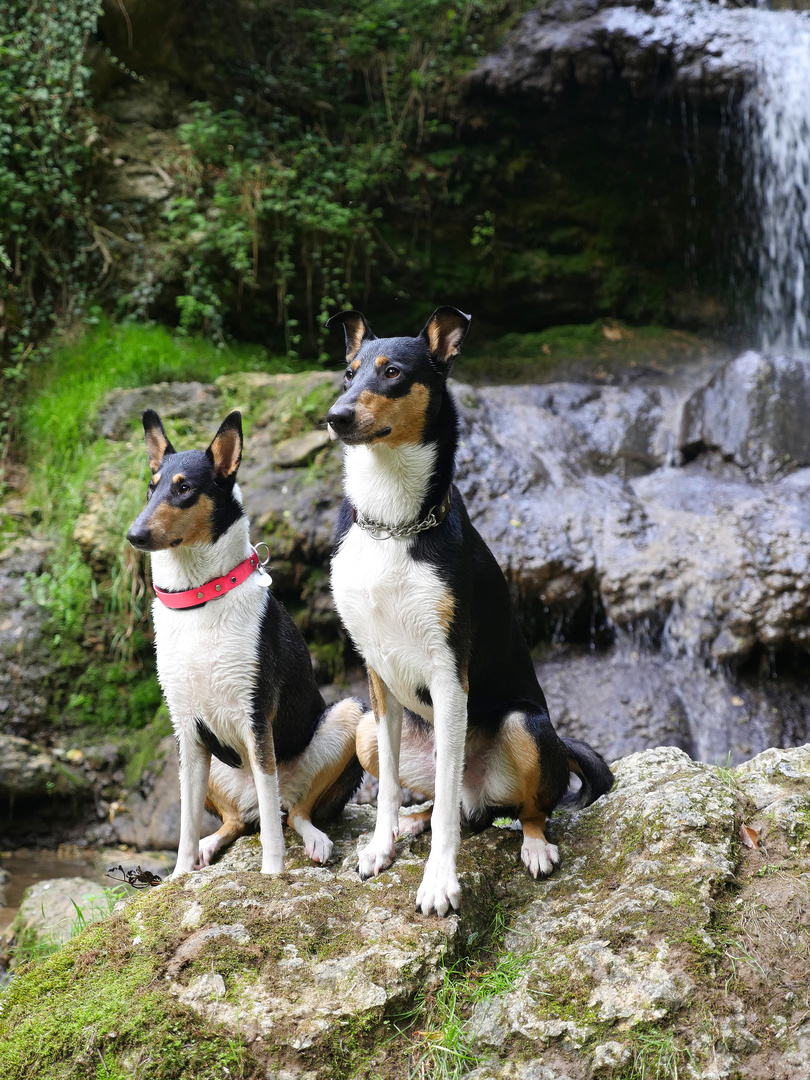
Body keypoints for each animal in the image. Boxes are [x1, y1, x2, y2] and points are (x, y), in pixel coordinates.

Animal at [127, 408, 365, 872]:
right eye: (151, 486)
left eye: (184, 488)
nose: (134, 534)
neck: (200, 600)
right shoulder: (187, 730)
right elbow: (184, 827)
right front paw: (180, 874)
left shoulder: (256, 719)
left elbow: (273, 827)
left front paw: (272, 873)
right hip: (209, 766)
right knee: (236, 820)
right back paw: (209, 846)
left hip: (348, 716)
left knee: (291, 811)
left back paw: (316, 841)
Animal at [326, 308, 613, 915]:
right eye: (349, 372)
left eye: (392, 372)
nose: (335, 417)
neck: (392, 520)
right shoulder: (377, 674)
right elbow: (387, 788)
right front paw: (382, 846)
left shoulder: (447, 671)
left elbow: (450, 818)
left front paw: (438, 882)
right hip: (362, 728)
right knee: (442, 803)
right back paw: (411, 823)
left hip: (526, 726)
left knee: (522, 810)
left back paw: (534, 846)